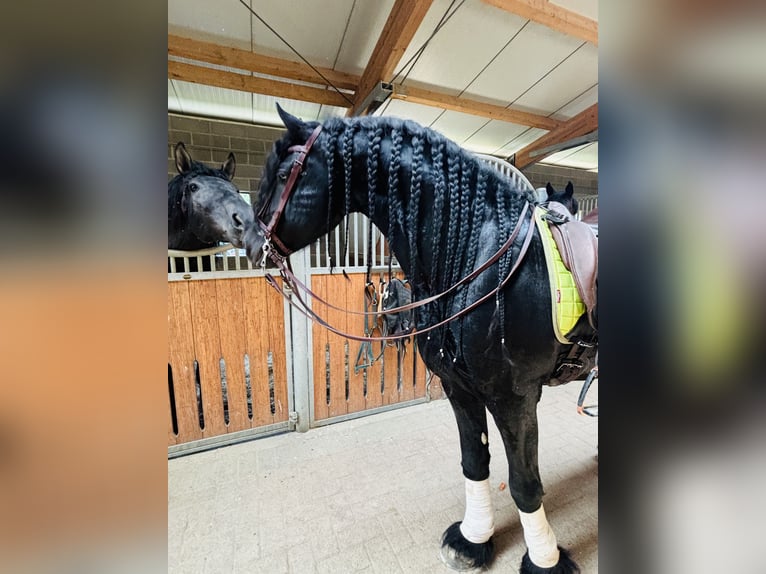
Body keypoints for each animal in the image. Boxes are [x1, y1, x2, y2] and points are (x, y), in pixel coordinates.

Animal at [243, 105, 596, 573]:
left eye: (285, 173)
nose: (250, 245)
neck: (482, 260)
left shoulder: (515, 398)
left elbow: (524, 482)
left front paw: (545, 561)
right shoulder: (459, 388)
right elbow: (475, 462)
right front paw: (473, 540)